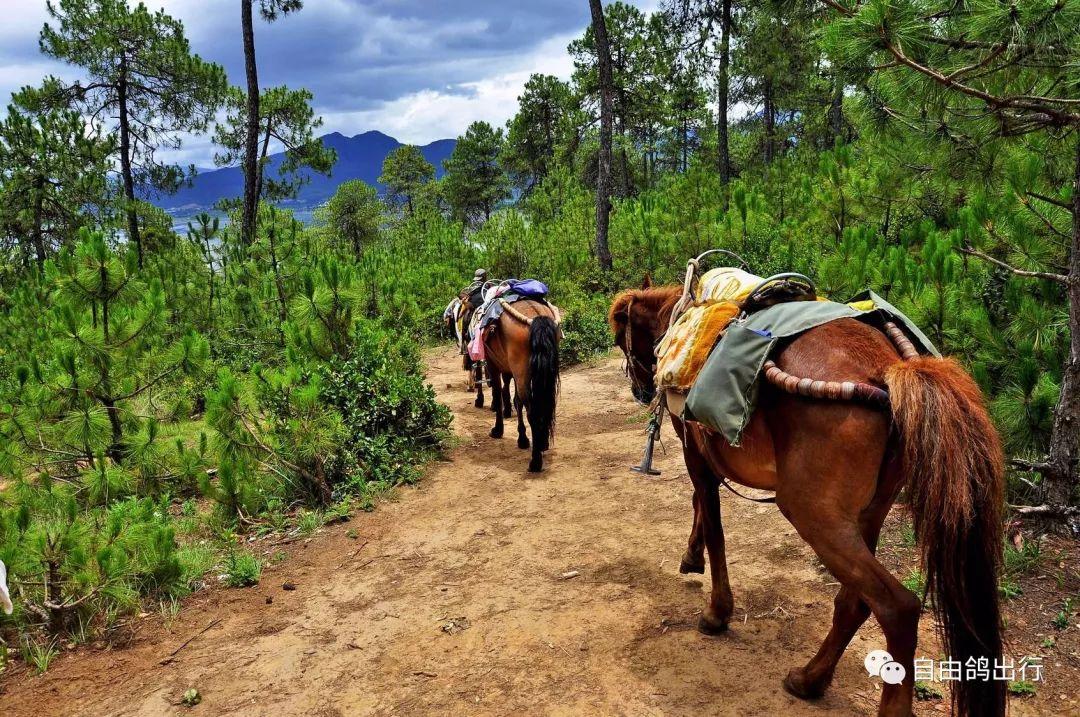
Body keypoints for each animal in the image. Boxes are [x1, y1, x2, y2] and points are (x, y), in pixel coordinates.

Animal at [483, 300, 561, 472]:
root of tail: (537, 317)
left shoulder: (493, 365)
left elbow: (498, 396)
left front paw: (498, 430)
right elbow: (516, 401)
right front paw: (523, 437)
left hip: (520, 371)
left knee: (532, 413)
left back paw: (535, 461)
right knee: (544, 405)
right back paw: (542, 443)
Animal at [613, 282, 1006, 717]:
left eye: (619, 339)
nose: (640, 390)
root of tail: (888, 367)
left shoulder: (695, 455)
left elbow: (711, 522)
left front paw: (717, 612)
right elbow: (701, 510)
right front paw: (691, 557)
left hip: (813, 515)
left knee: (898, 608)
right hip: (868, 513)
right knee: (855, 603)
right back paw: (809, 679)